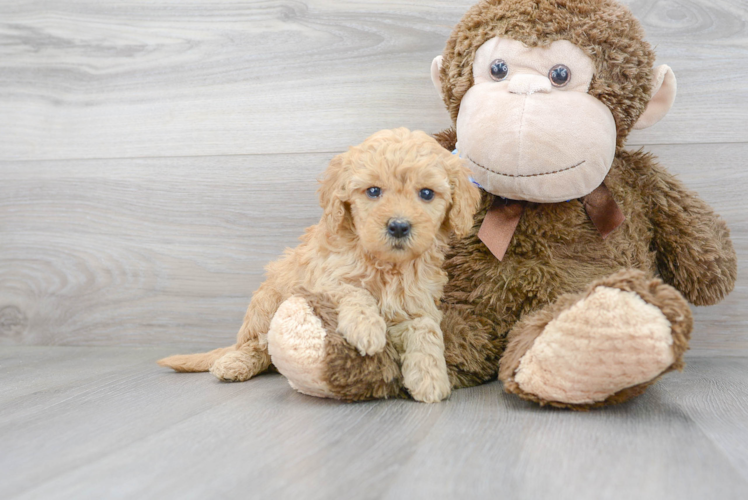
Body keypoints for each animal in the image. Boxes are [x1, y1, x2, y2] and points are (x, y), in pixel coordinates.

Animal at [161, 128, 482, 402]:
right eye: (373, 191)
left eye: (426, 193)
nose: (399, 226)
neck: (386, 265)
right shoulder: (322, 279)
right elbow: (354, 290)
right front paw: (367, 328)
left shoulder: (419, 301)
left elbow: (427, 330)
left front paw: (431, 379)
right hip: (266, 301)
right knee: (257, 344)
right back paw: (234, 363)